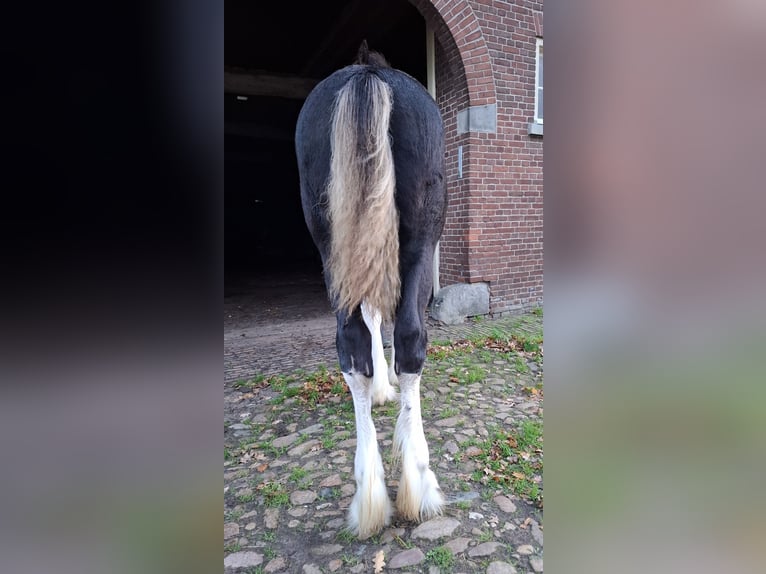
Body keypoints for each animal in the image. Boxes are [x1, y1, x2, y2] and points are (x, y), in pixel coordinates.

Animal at [295, 41, 447, 539]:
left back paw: (369, 494)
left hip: (330, 243)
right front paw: (388, 384)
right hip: (421, 235)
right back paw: (417, 482)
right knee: (410, 338)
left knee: (350, 344)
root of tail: (368, 76)